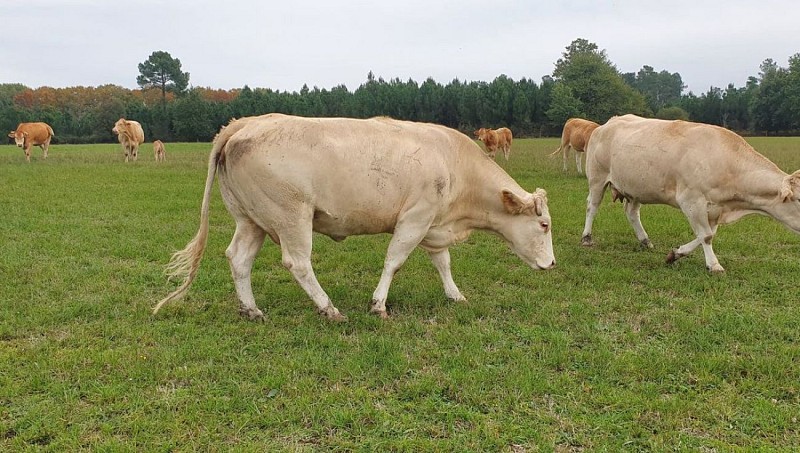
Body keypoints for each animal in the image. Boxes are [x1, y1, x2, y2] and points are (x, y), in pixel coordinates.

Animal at [153, 115, 552, 324]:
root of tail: (245, 123)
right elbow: (394, 261)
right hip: (291, 216)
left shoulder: (432, 224)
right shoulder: (415, 218)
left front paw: (455, 295)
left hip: (251, 220)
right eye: (544, 225)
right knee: (298, 263)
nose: (551, 264)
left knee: (238, 259)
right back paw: (329, 309)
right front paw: (378, 305)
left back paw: (251, 310)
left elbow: (443, 263)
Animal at [580, 115, 800, 272]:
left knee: (632, 212)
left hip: (636, 187)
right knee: (592, 206)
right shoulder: (691, 201)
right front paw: (714, 265)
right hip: (597, 178)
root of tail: (608, 123)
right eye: (798, 200)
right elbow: (706, 236)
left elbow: (708, 234)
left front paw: (676, 254)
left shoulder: (715, 208)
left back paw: (645, 240)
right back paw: (587, 238)